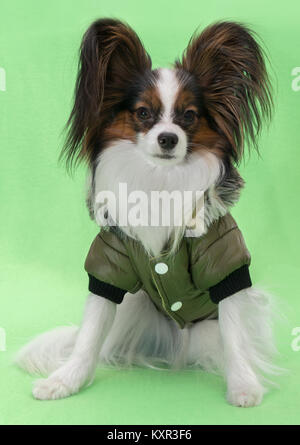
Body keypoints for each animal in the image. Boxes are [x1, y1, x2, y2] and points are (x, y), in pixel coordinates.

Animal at [16, 18, 280, 406]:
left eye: (189, 116)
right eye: (143, 113)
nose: (168, 138)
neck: (162, 179)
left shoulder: (223, 263)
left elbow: (234, 334)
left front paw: (243, 385)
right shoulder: (111, 261)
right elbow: (90, 332)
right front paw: (66, 381)